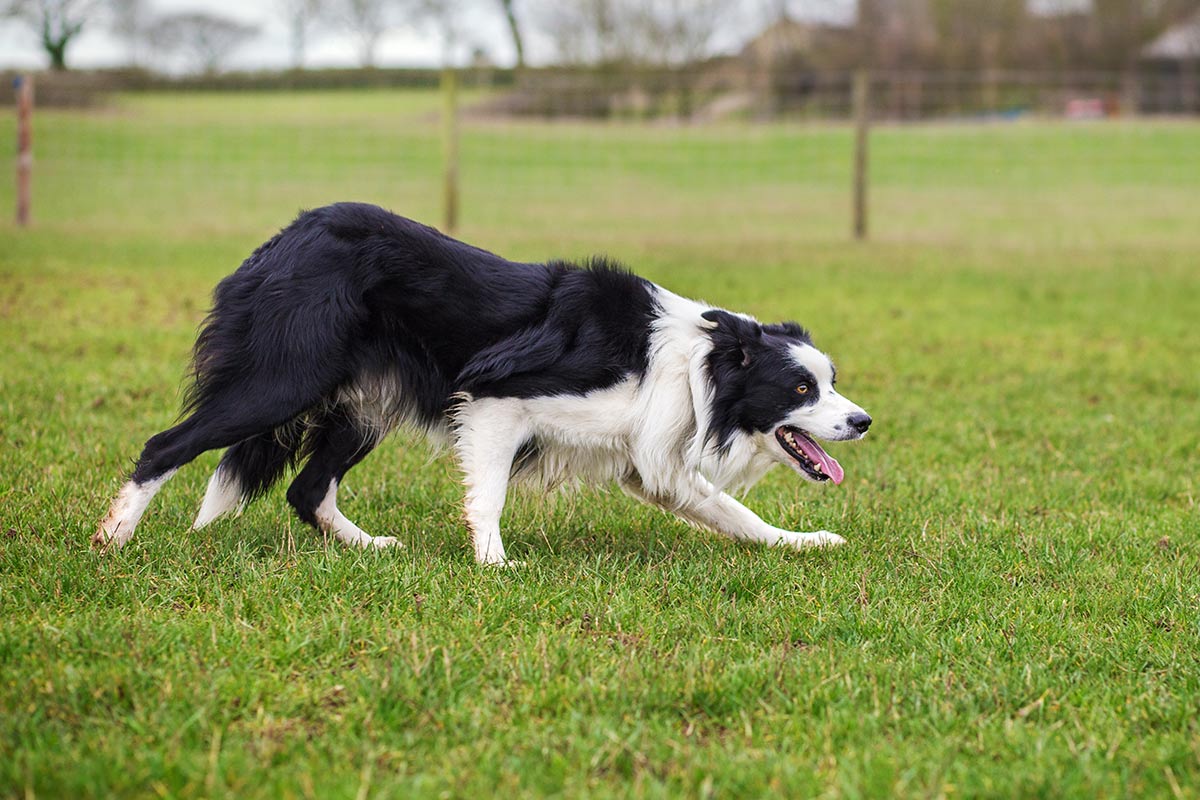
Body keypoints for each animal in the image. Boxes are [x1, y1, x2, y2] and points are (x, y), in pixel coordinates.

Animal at [91, 201, 864, 563]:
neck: (697, 365)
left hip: (362, 405)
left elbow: (733, 514)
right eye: (801, 391)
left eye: (831, 382)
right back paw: (113, 538)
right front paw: (494, 565)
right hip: (282, 379)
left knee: (307, 489)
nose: (863, 421)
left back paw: (369, 549)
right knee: (166, 444)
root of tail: (283, 240)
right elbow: (487, 494)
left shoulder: (647, 457)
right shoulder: (499, 397)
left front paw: (802, 543)